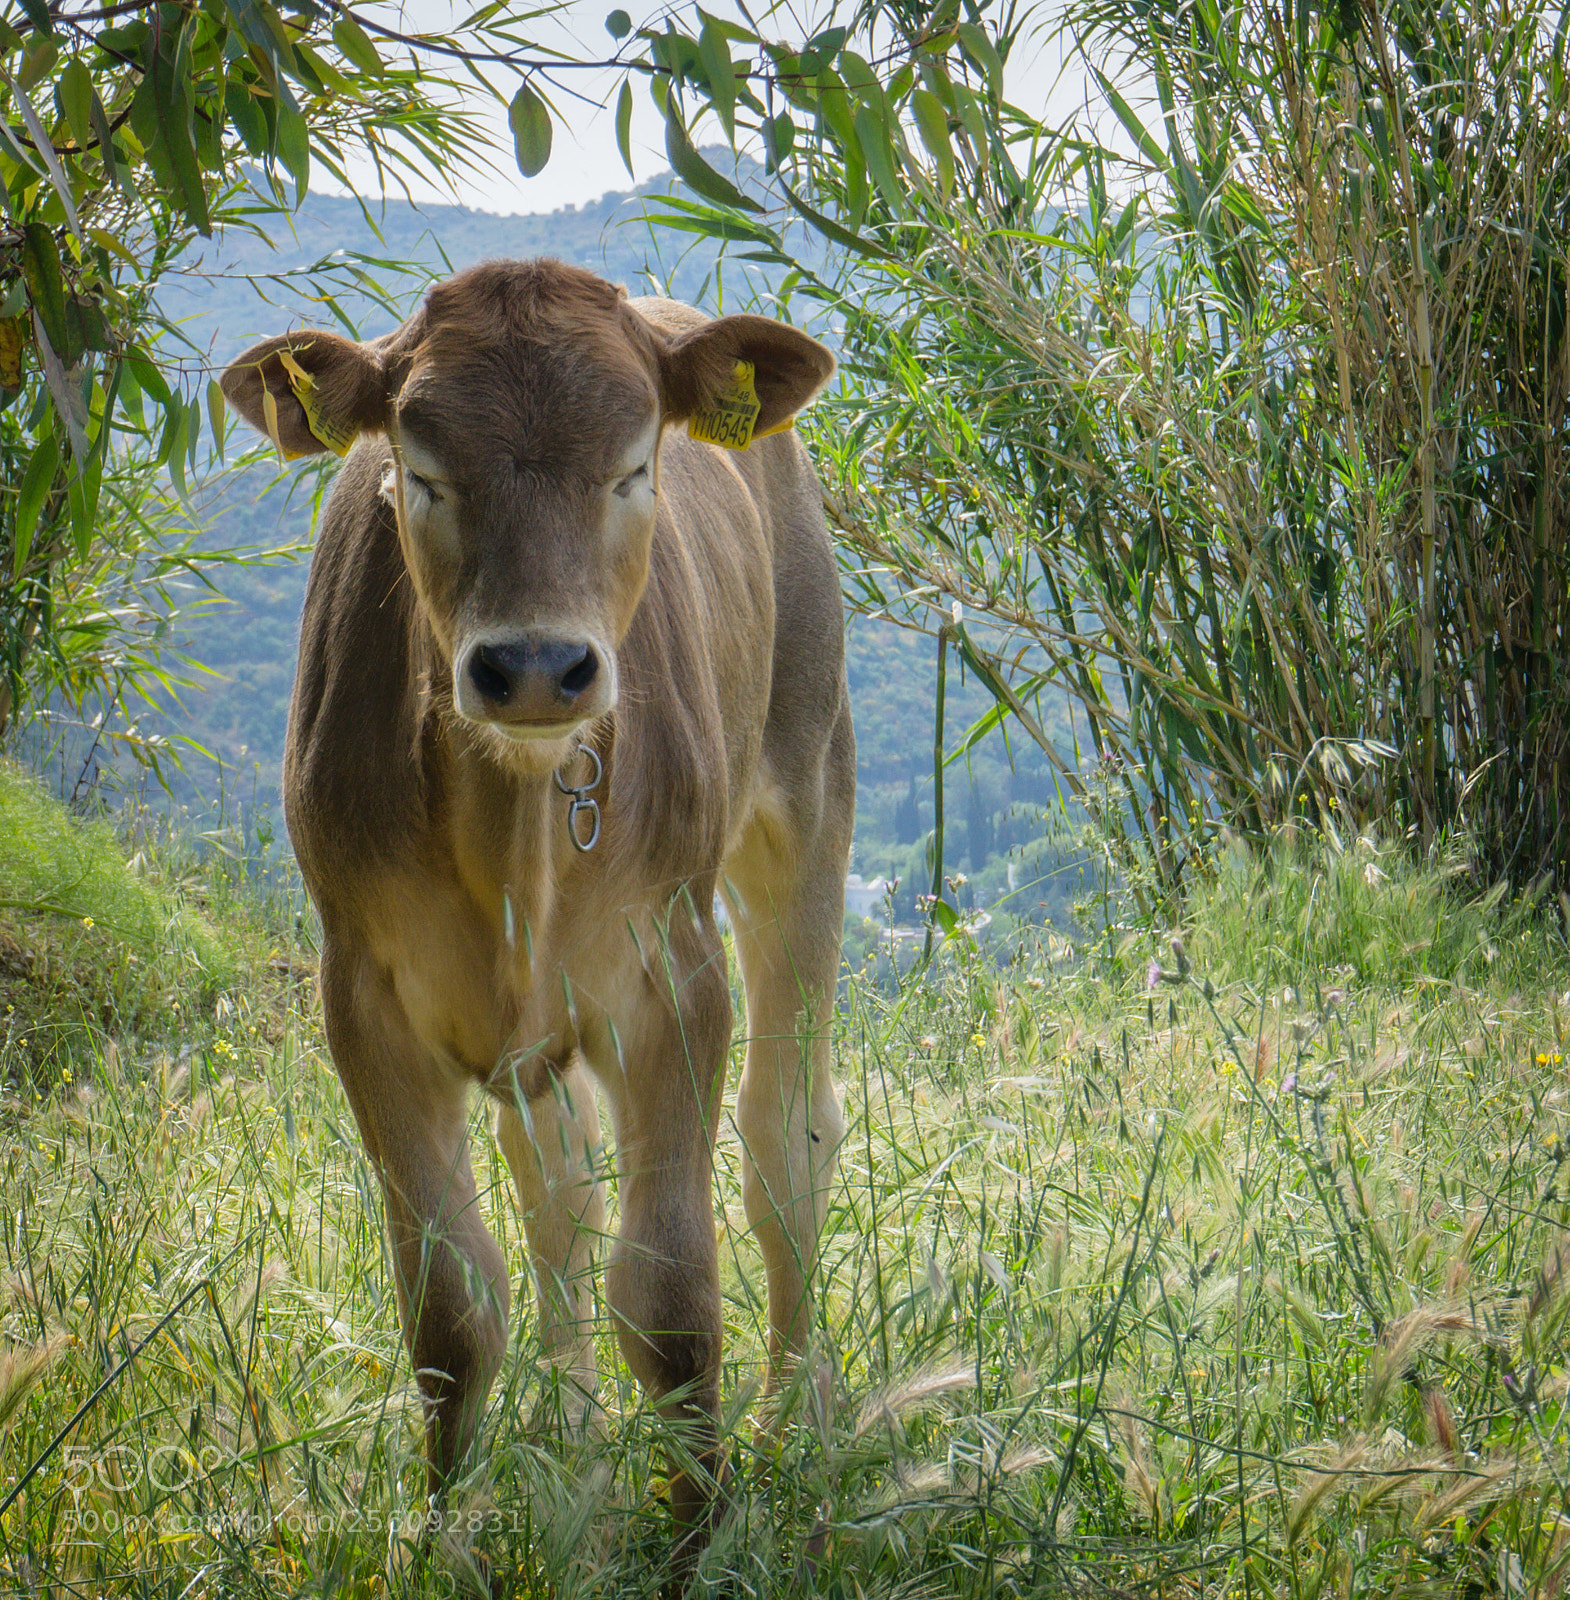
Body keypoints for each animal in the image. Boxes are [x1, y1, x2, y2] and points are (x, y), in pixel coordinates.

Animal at [220, 259, 854, 1548]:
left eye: (634, 463)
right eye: (419, 468)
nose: (533, 669)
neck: (505, 824)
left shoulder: (672, 977)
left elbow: (669, 1295)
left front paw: (697, 1530)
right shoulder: (365, 996)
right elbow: (453, 1306)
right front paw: (451, 1530)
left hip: (808, 790)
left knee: (786, 1139)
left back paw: (793, 1424)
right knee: (558, 1189)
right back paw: (572, 1441)